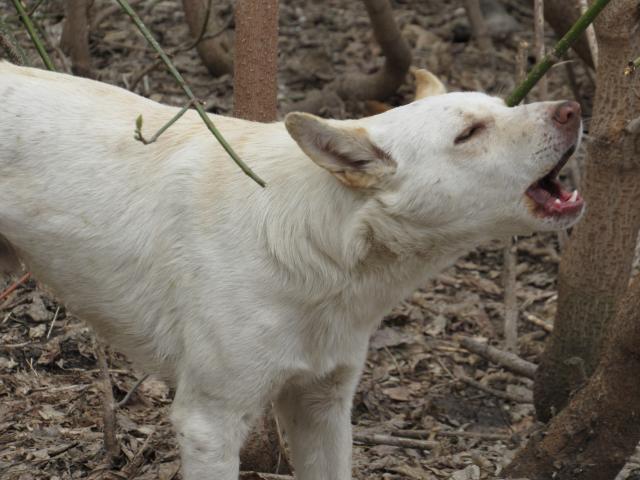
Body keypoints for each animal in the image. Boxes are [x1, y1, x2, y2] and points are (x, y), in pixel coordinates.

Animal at [0, 63, 584, 480]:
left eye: (503, 107)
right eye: (470, 133)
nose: (573, 109)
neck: (318, 252)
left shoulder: (322, 405)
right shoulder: (209, 425)